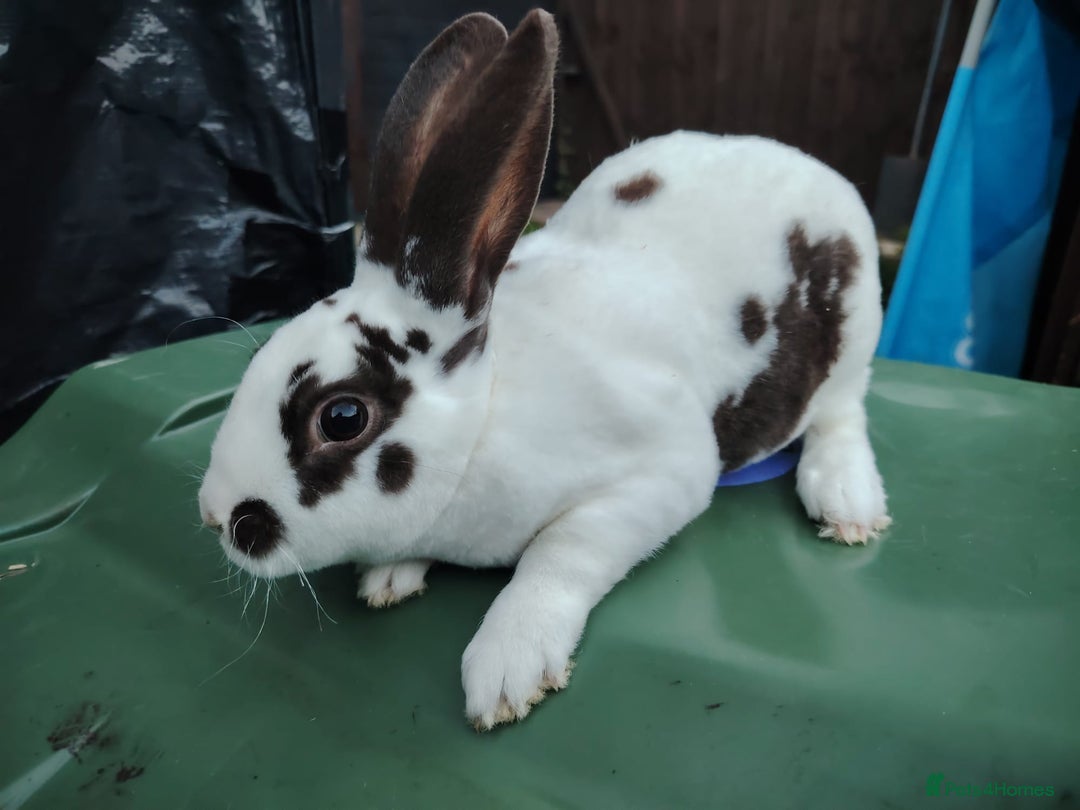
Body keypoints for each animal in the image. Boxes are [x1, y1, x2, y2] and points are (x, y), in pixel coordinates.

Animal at [198, 8, 890, 731]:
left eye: (341, 417)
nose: (214, 516)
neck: (482, 426)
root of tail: (809, 164)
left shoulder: (658, 475)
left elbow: (560, 554)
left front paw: (509, 667)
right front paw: (390, 576)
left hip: (852, 345)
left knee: (843, 415)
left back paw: (848, 503)